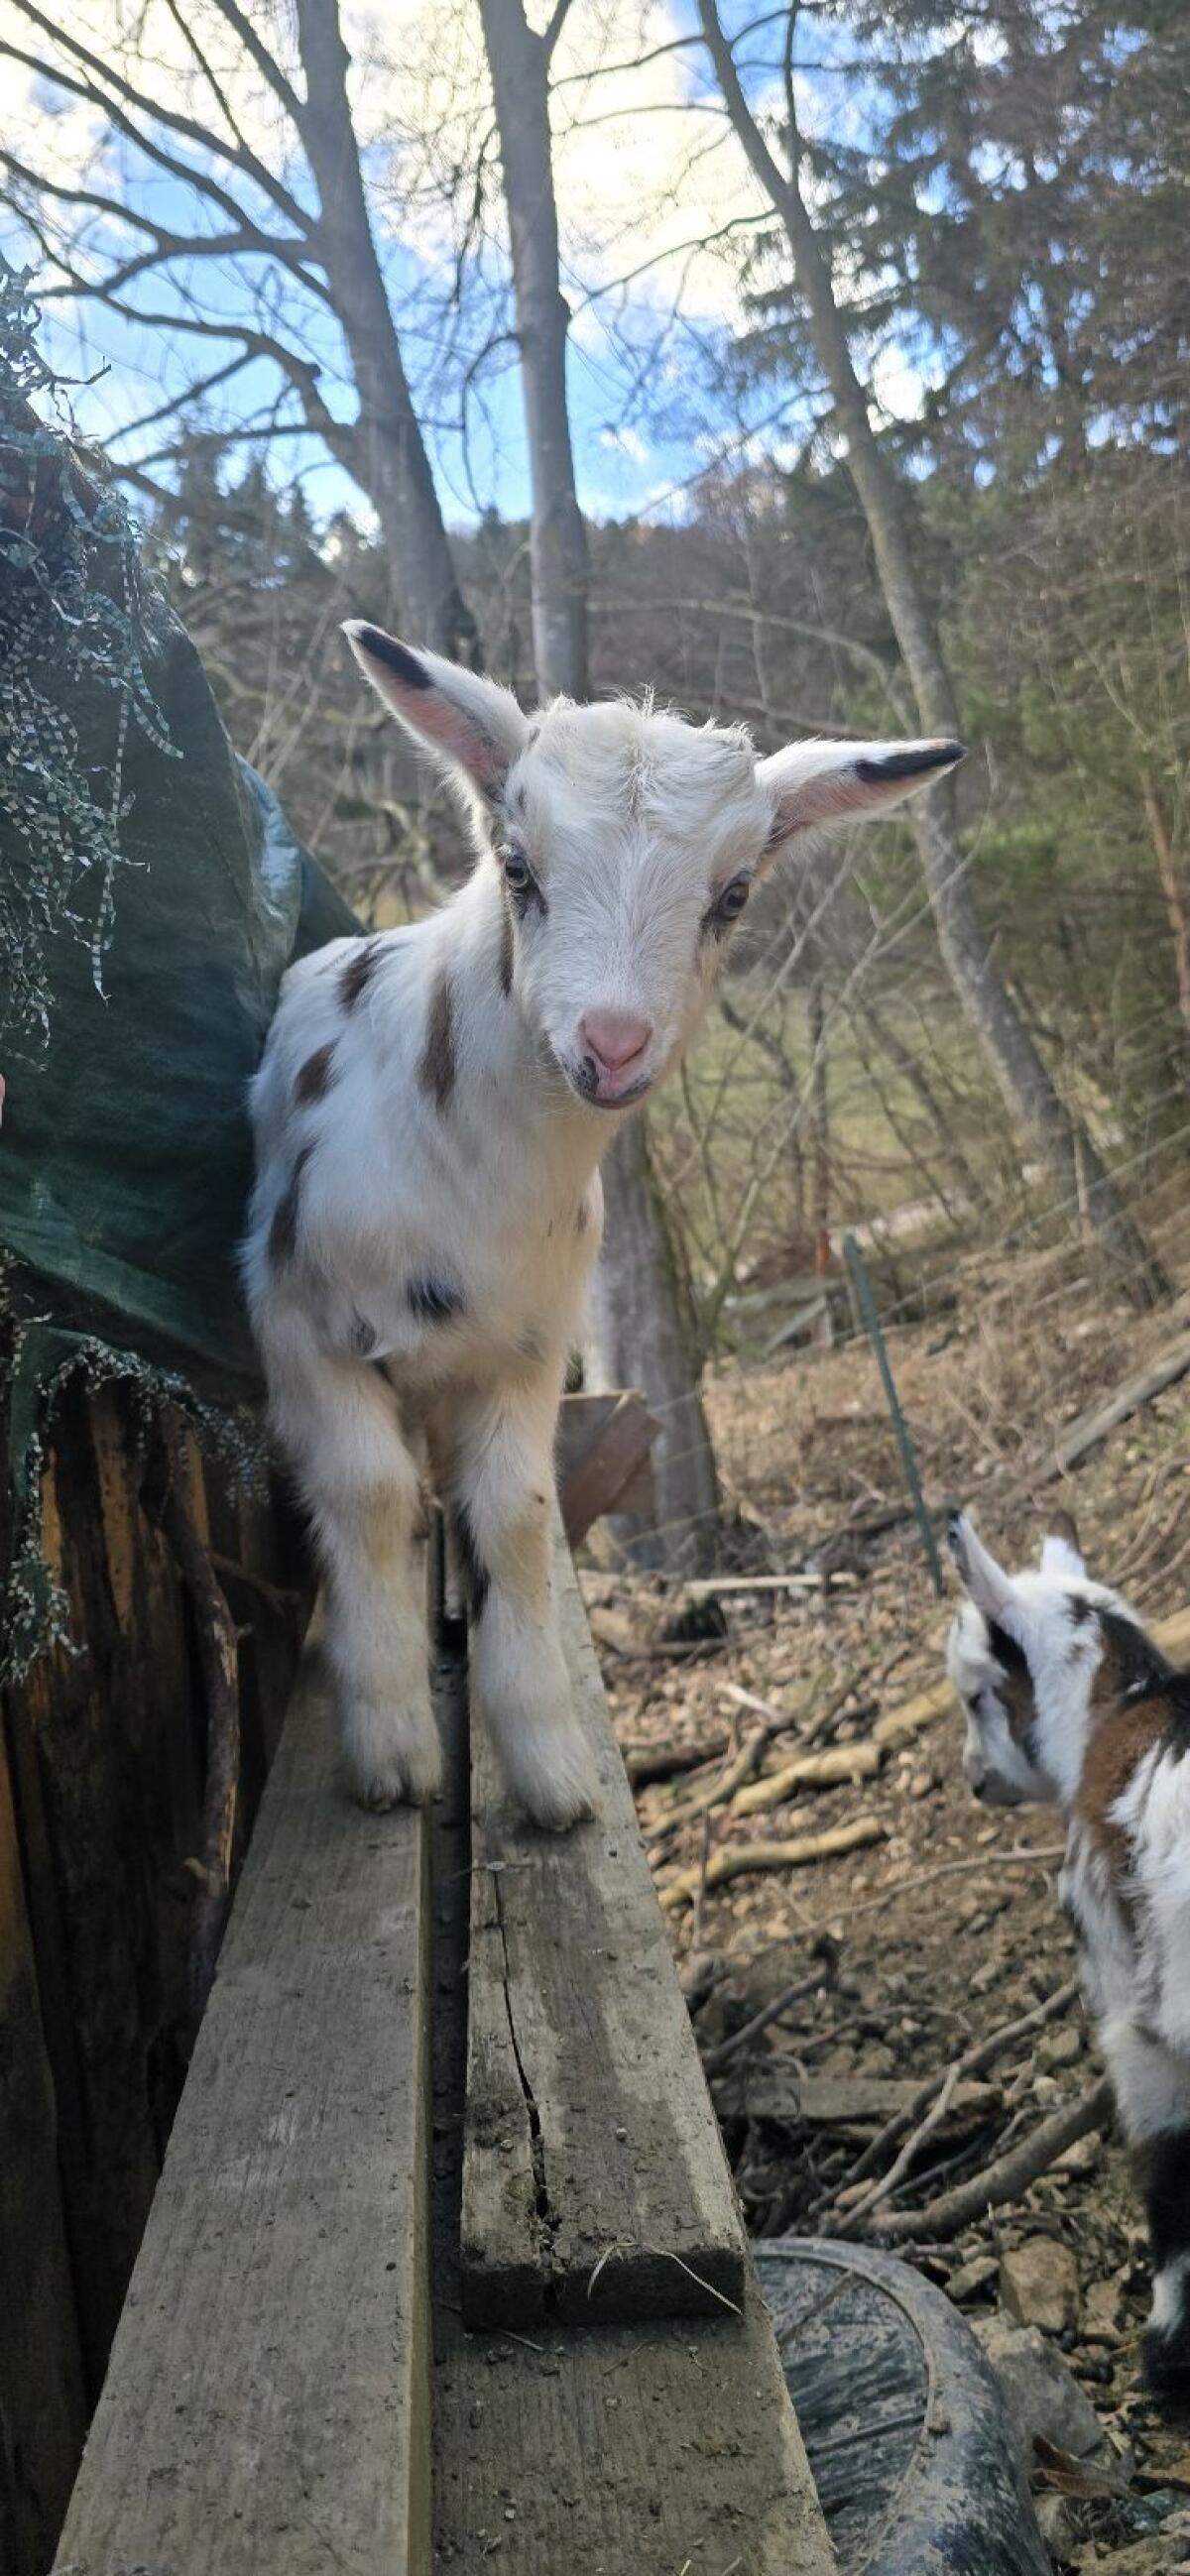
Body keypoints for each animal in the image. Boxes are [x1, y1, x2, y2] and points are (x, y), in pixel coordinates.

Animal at [243, 623, 961, 1830]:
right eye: (518, 865)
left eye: (735, 894)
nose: (614, 1044)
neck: (474, 1185)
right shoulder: (299, 1324)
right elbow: (371, 1496)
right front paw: (389, 1749)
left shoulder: (530, 1351)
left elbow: (519, 1518)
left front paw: (549, 1771)